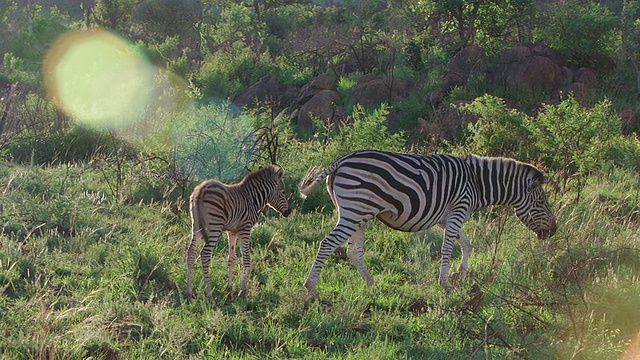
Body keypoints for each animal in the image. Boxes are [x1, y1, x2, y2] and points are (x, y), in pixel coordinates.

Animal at [186, 165, 292, 300]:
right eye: (283, 192)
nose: (289, 212)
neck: (252, 199)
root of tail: (201, 189)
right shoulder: (245, 229)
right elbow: (246, 259)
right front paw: (243, 291)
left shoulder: (232, 232)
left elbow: (231, 259)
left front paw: (229, 290)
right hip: (215, 226)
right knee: (205, 254)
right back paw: (209, 293)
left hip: (197, 226)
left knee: (191, 252)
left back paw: (189, 293)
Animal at [300, 149, 556, 296]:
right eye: (542, 202)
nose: (554, 231)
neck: (476, 182)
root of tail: (341, 160)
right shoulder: (458, 210)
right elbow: (448, 248)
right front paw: (446, 285)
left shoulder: (445, 217)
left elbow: (466, 243)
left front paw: (460, 273)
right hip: (355, 210)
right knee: (327, 244)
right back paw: (311, 288)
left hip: (358, 214)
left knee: (354, 251)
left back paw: (373, 285)